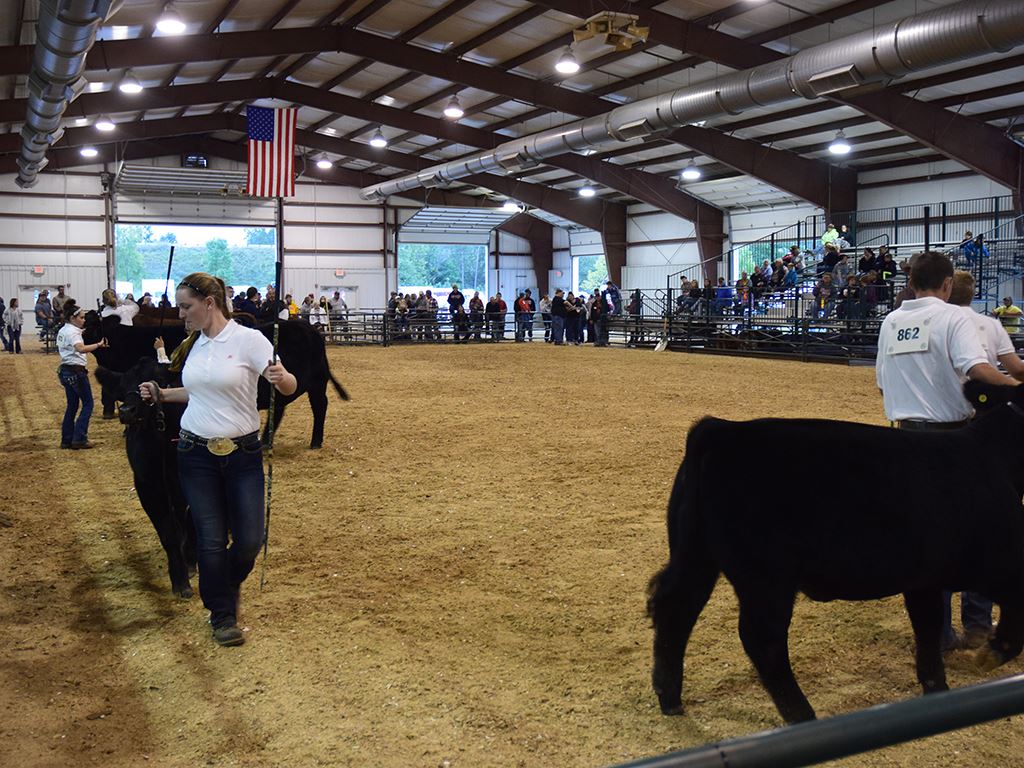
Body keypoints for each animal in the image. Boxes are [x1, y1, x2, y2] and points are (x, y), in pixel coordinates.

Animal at [84, 309, 348, 448]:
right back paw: (265, 441)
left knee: (319, 406)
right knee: (280, 408)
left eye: (155, 382)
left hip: (317, 382)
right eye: (125, 384)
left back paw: (315, 441)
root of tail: (310, 328)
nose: (126, 411)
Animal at [95, 358, 196, 598]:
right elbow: (168, 533)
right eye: (123, 386)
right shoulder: (147, 485)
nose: (127, 411)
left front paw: (191, 560)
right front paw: (180, 580)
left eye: (158, 380)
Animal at [647, 385, 1024, 729]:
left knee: (675, 607)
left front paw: (936, 689)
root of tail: (720, 430)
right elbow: (1014, 608)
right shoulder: (991, 563)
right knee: (762, 637)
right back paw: (802, 716)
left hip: (695, 555)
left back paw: (670, 698)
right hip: (767, 575)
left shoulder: (924, 578)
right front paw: (990, 654)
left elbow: (927, 626)